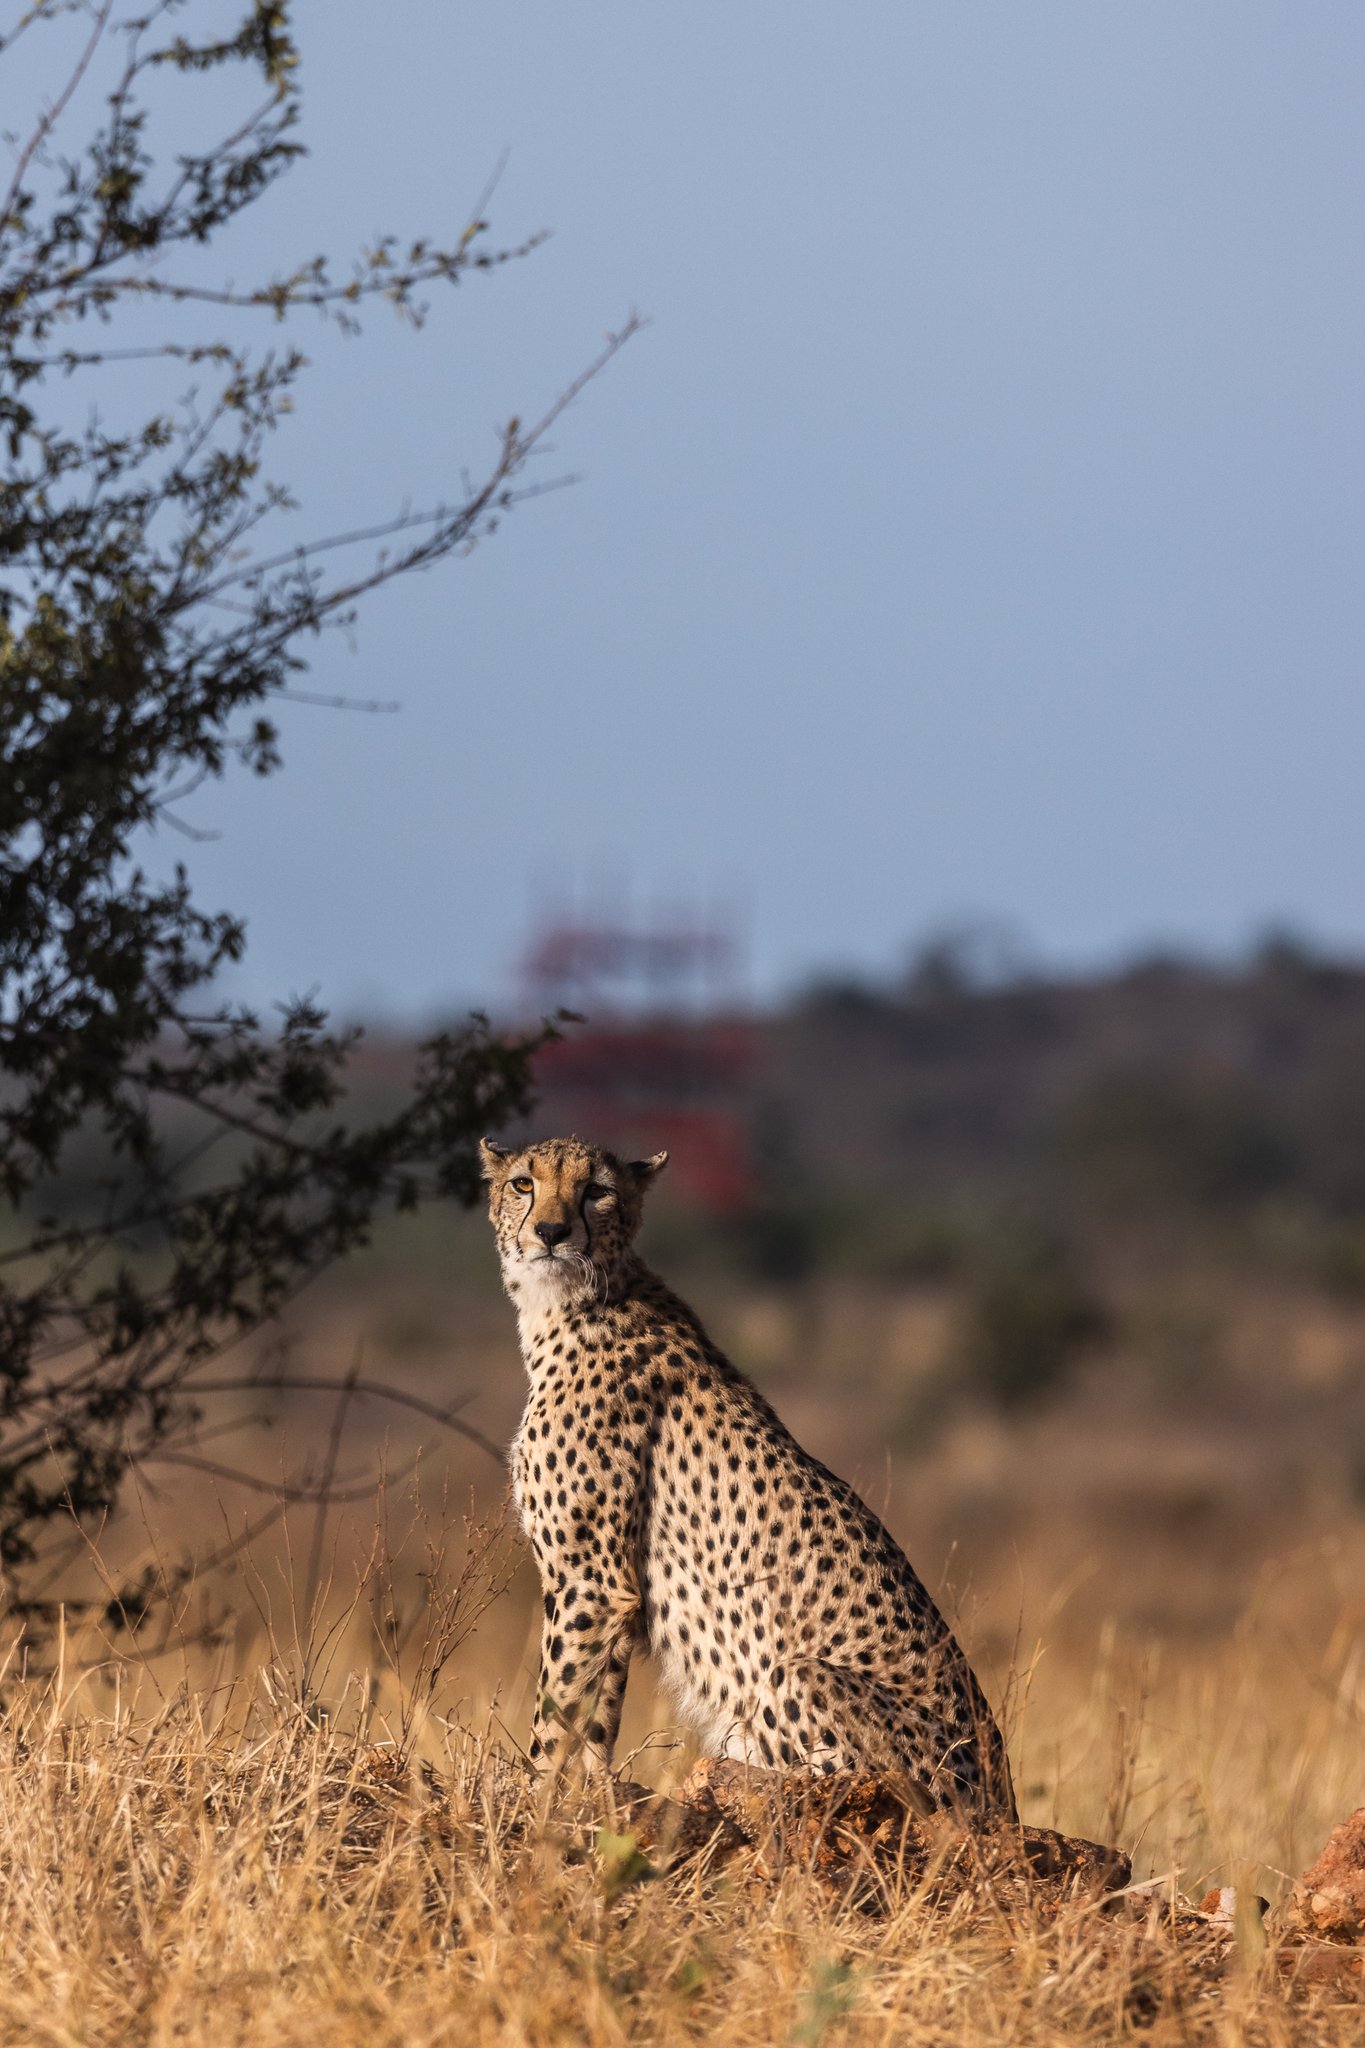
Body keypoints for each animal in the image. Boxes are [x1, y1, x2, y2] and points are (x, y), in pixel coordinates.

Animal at [481, 1132, 1016, 1820]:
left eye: (595, 1191)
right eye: (524, 1183)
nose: (550, 1231)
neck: (575, 1300)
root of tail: (1003, 1802)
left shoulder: (590, 1583)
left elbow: (555, 1715)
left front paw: (530, 1802)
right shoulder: (611, 1592)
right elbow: (595, 1721)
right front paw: (588, 1798)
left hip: (802, 1678)